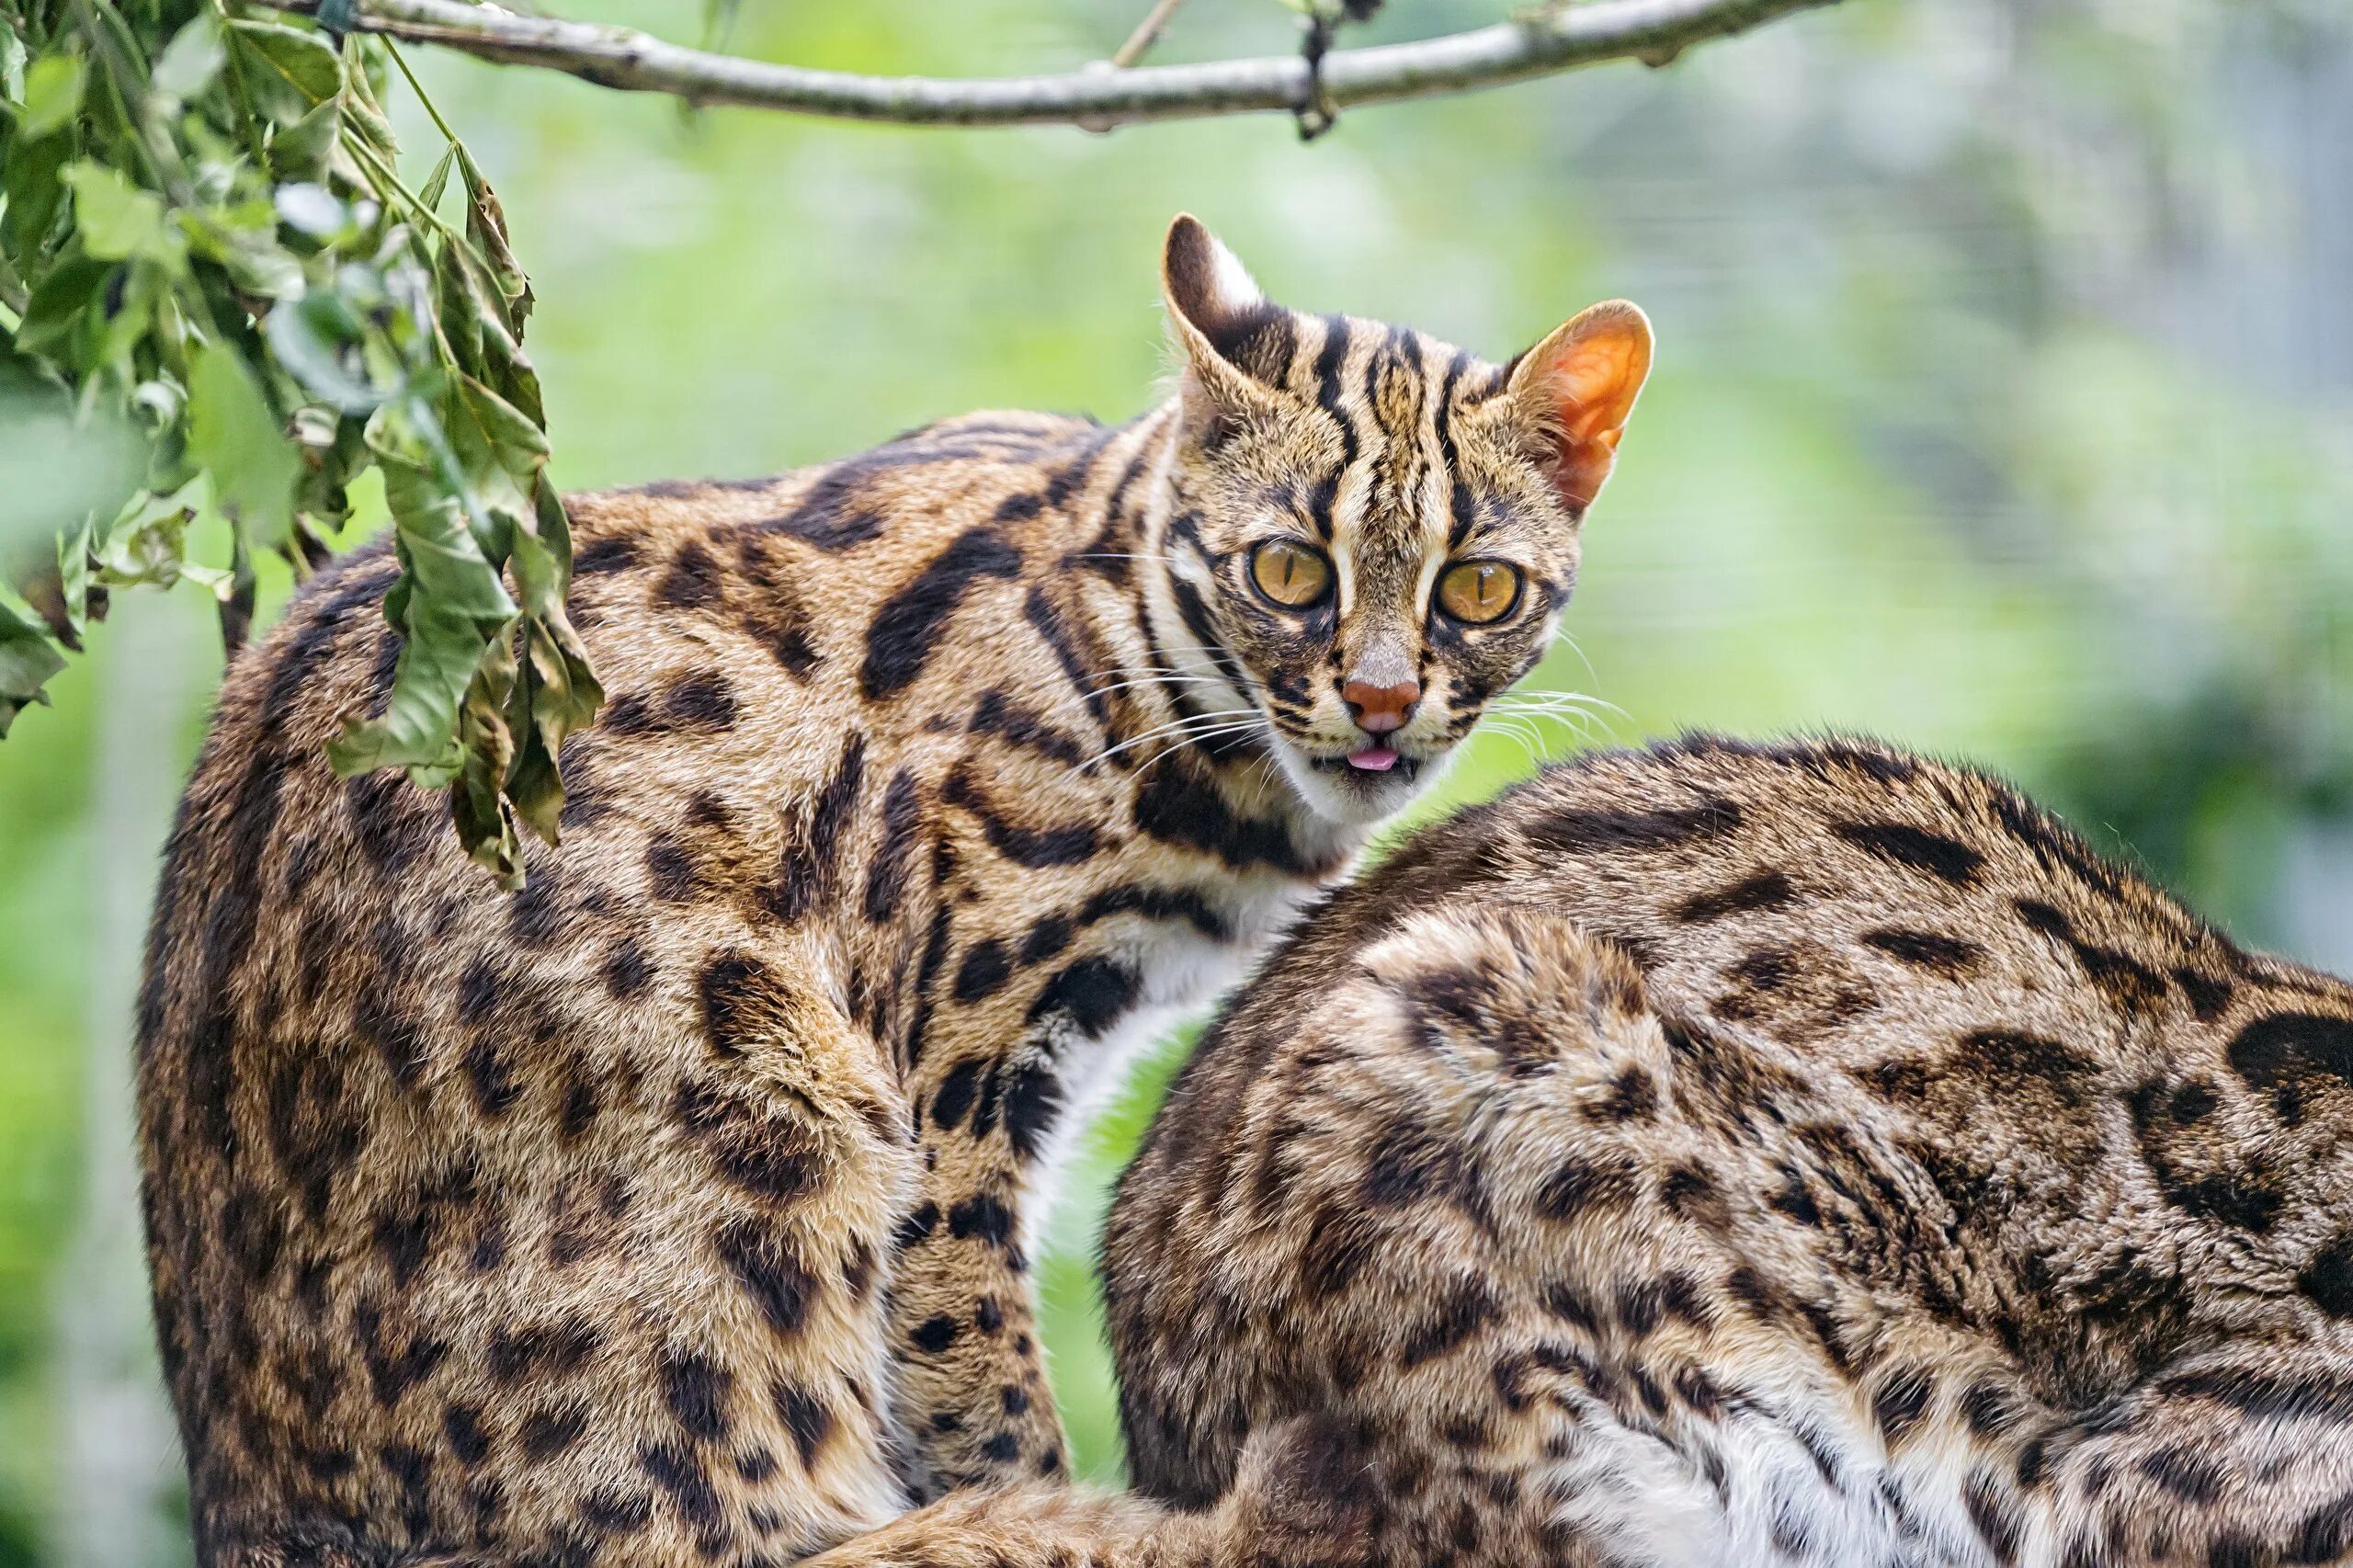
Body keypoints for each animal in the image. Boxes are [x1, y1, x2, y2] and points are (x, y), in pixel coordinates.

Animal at [133, 216, 1656, 1562]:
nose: (1384, 700)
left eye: (1478, 588)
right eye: (1286, 569)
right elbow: (970, 1370)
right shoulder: (957, 1079)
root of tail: (254, 1501)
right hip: (774, 1114)